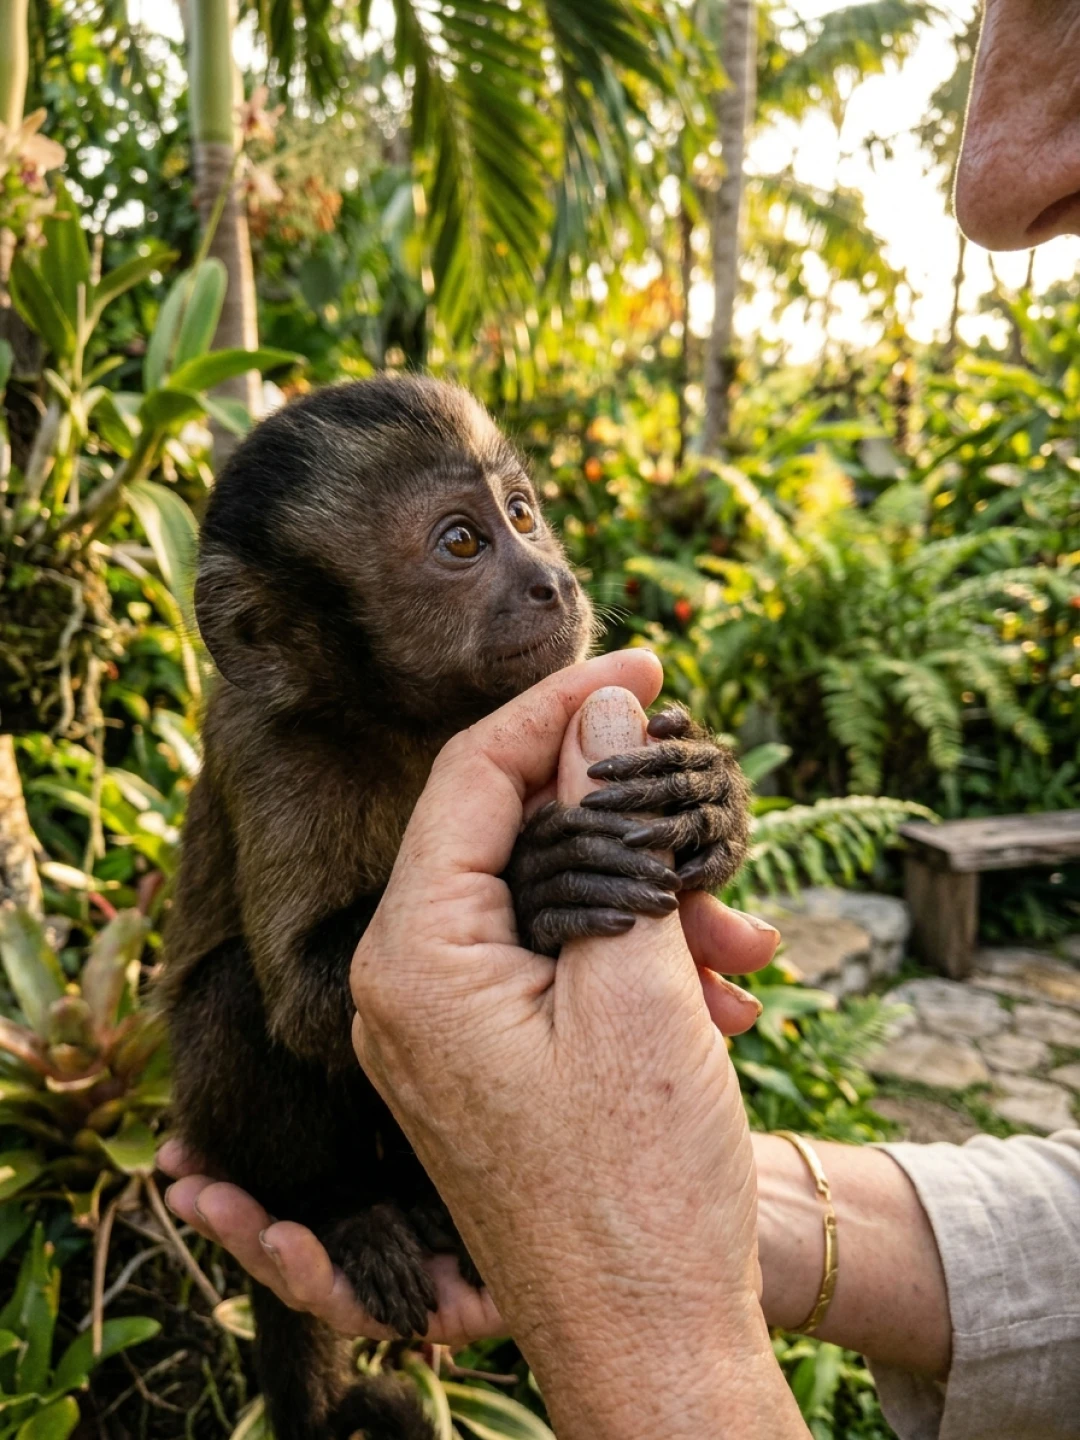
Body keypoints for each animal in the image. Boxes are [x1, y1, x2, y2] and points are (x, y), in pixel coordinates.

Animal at [160, 376, 750, 1440]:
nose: (551, 579)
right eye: (464, 543)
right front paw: (539, 880)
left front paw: (706, 791)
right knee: (232, 997)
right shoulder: (271, 749)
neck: (408, 722)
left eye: (521, 513)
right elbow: (303, 996)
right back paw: (344, 1213)